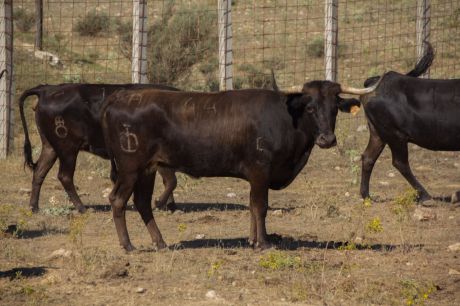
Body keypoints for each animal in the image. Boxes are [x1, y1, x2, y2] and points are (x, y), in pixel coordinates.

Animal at [19, 83, 178, 213]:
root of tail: (48, 89)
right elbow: (171, 181)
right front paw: (161, 203)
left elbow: (168, 181)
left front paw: (170, 206)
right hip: (68, 149)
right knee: (64, 176)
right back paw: (82, 208)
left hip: (50, 147)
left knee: (39, 171)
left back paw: (34, 207)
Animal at [101, 80, 380, 250]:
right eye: (310, 108)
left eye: (334, 108)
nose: (327, 139)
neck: (286, 117)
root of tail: (121, 97)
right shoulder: (260, 171)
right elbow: (260, 206)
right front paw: (263, 243)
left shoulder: (256, 177)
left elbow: (252, 206)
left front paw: (252, 239)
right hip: (130, 168)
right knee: (118, 200)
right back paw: (128, 245)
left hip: (147, 169)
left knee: (142, 203)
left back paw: (160, 243)